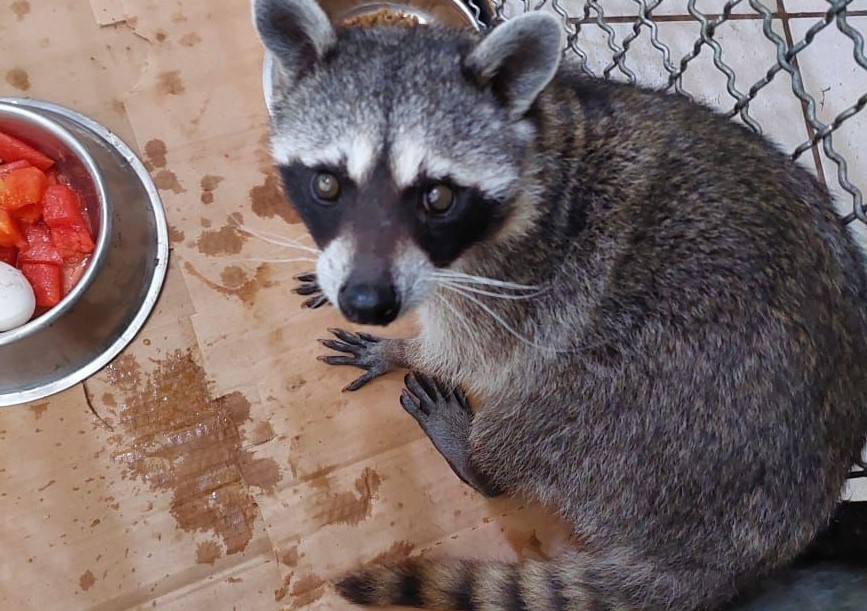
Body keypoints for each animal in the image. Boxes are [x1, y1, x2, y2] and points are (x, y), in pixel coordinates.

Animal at [254, 2, 867, 608]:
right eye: (328, 185)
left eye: (438, 197)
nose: (368, 300)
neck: (546, 134)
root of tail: (746, 554)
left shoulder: (522, 279)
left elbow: (471, 352)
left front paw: (403, 349)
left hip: (643, 422)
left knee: (547, 403)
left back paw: (479, 460)